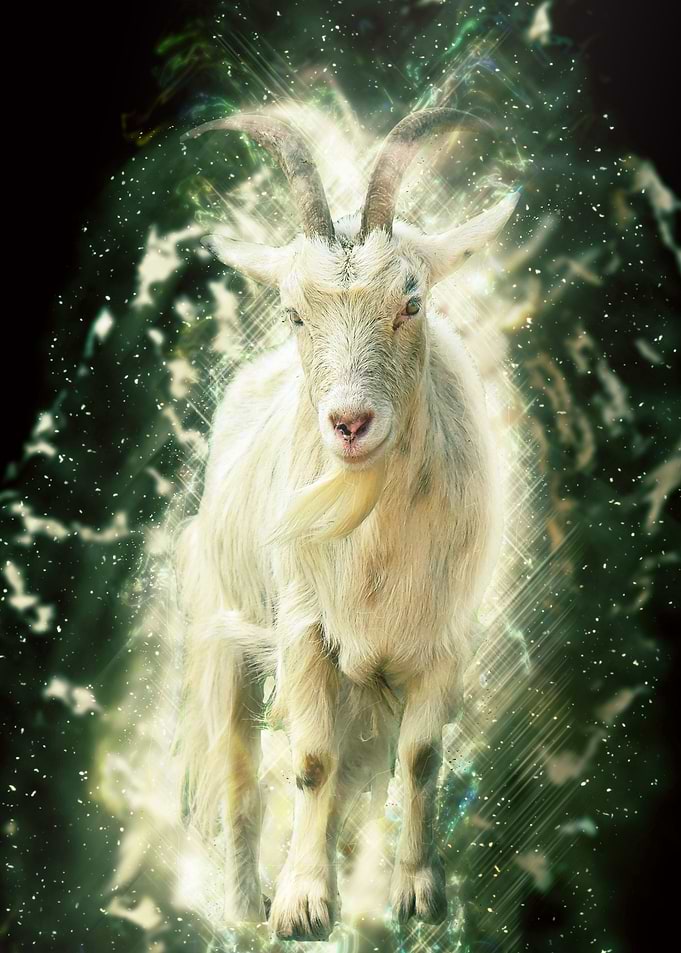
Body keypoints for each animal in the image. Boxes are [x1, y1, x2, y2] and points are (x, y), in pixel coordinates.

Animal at [175, 108, 520, 940]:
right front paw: (301, 903)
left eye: (411, 303)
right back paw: (244, 906)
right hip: (224, 630)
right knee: (239, 770)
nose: (349, 423)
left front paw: (417, 892)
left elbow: (421, 756)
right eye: (294, 312)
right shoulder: (303, 626)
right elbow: (310, 762)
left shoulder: (444, 635)